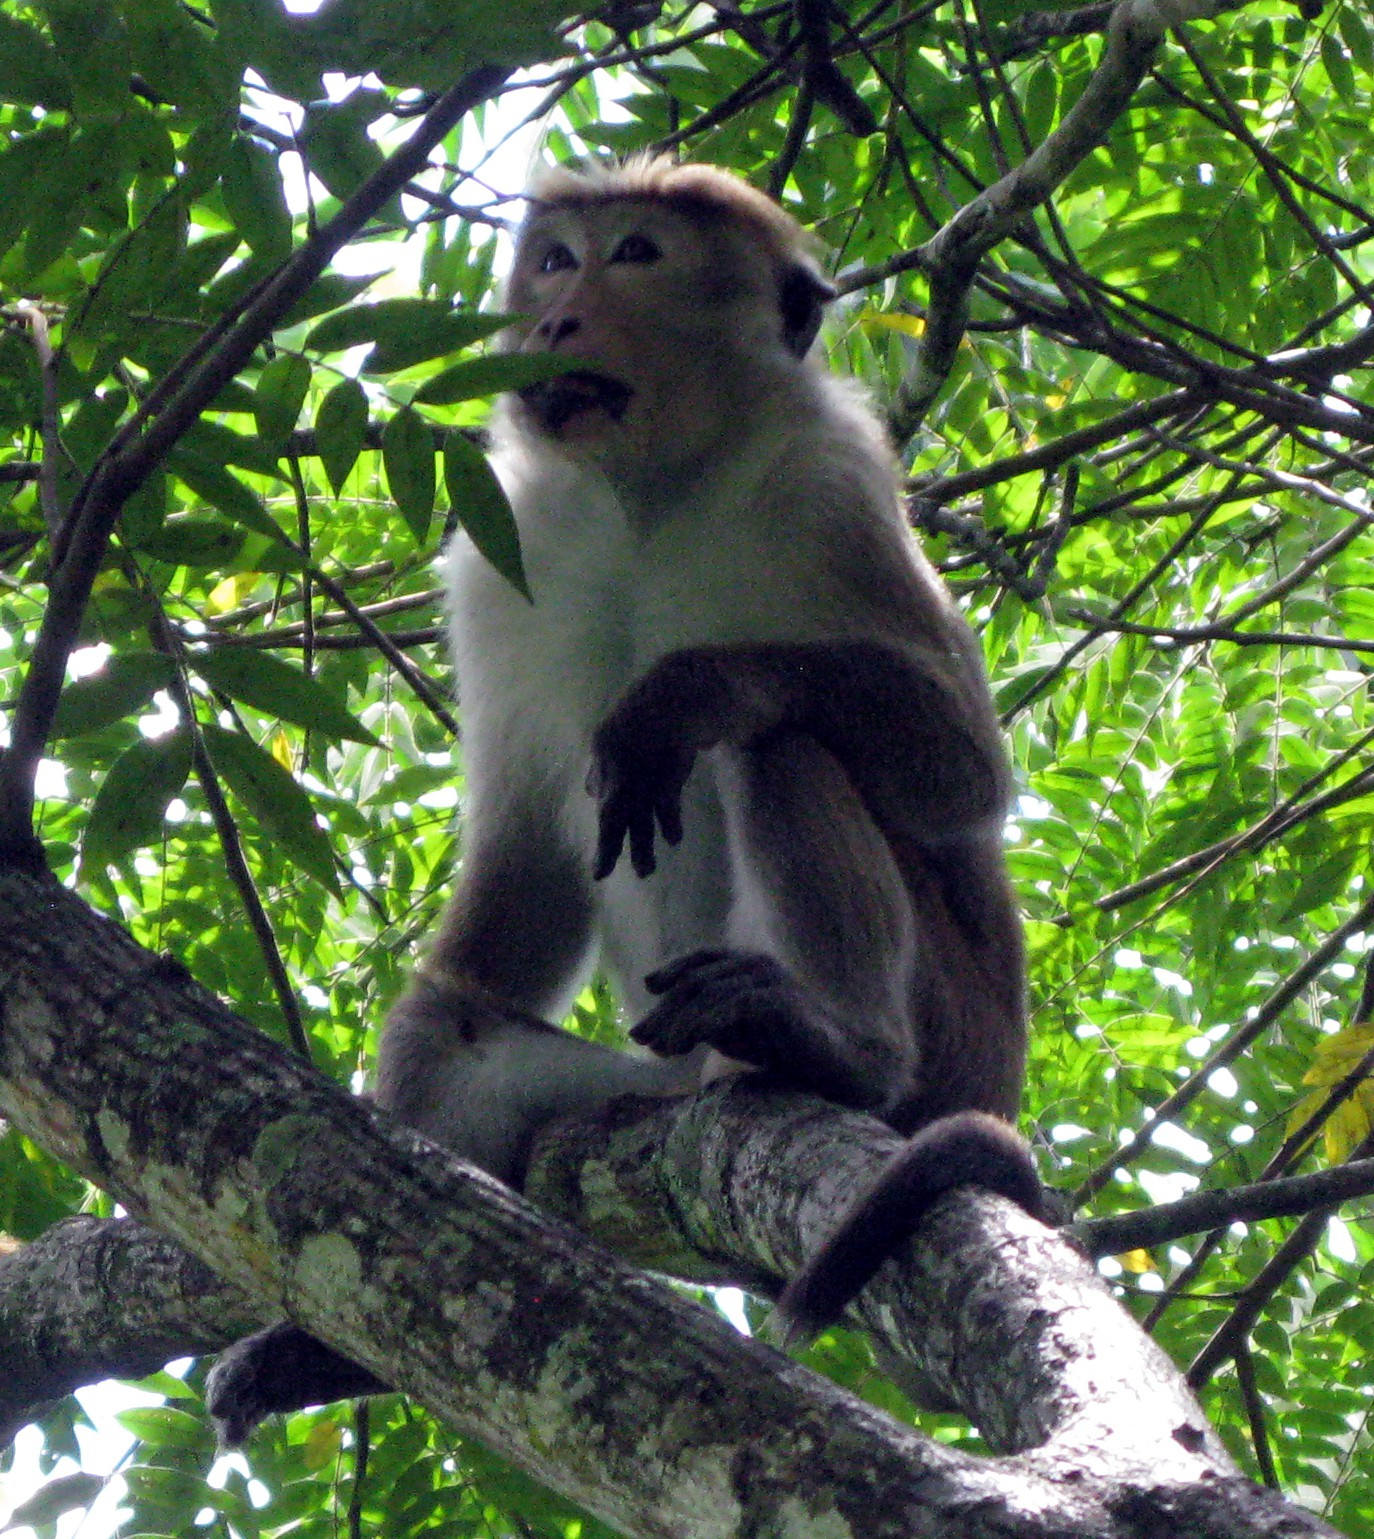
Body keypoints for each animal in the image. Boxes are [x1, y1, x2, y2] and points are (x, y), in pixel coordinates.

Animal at [206, 157, 1043, 1448]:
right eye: (555, 260)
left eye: (637, 255)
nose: (555, 319)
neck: (653, 491)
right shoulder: (506, 551)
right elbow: (526, 856)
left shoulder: (833, 480)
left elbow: (960, 770)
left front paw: (683, 690)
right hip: (656, 1074)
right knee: (460, 1041)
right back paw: (330, 1350)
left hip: (952, 1032)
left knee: (783, 743)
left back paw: (841, 1049)